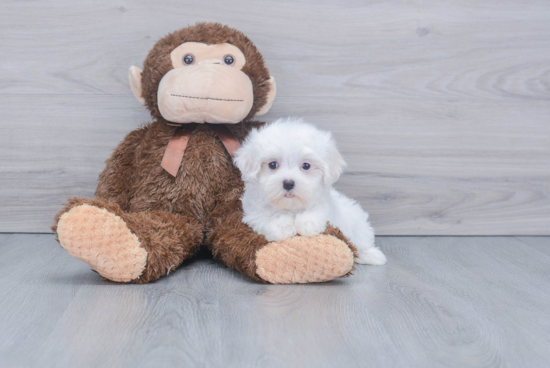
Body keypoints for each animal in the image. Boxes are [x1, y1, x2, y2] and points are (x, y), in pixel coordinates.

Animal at [235, 118, 386, 264]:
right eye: (272, 164)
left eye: (306, 166)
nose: (288, 183)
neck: (291, 207)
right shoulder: (253, 214)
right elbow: (265, 218)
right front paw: (281, 226)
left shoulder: (326, 208)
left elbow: (318, 212)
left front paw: (308, 223)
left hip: (358, 224)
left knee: (361, 242)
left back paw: (373, 256)